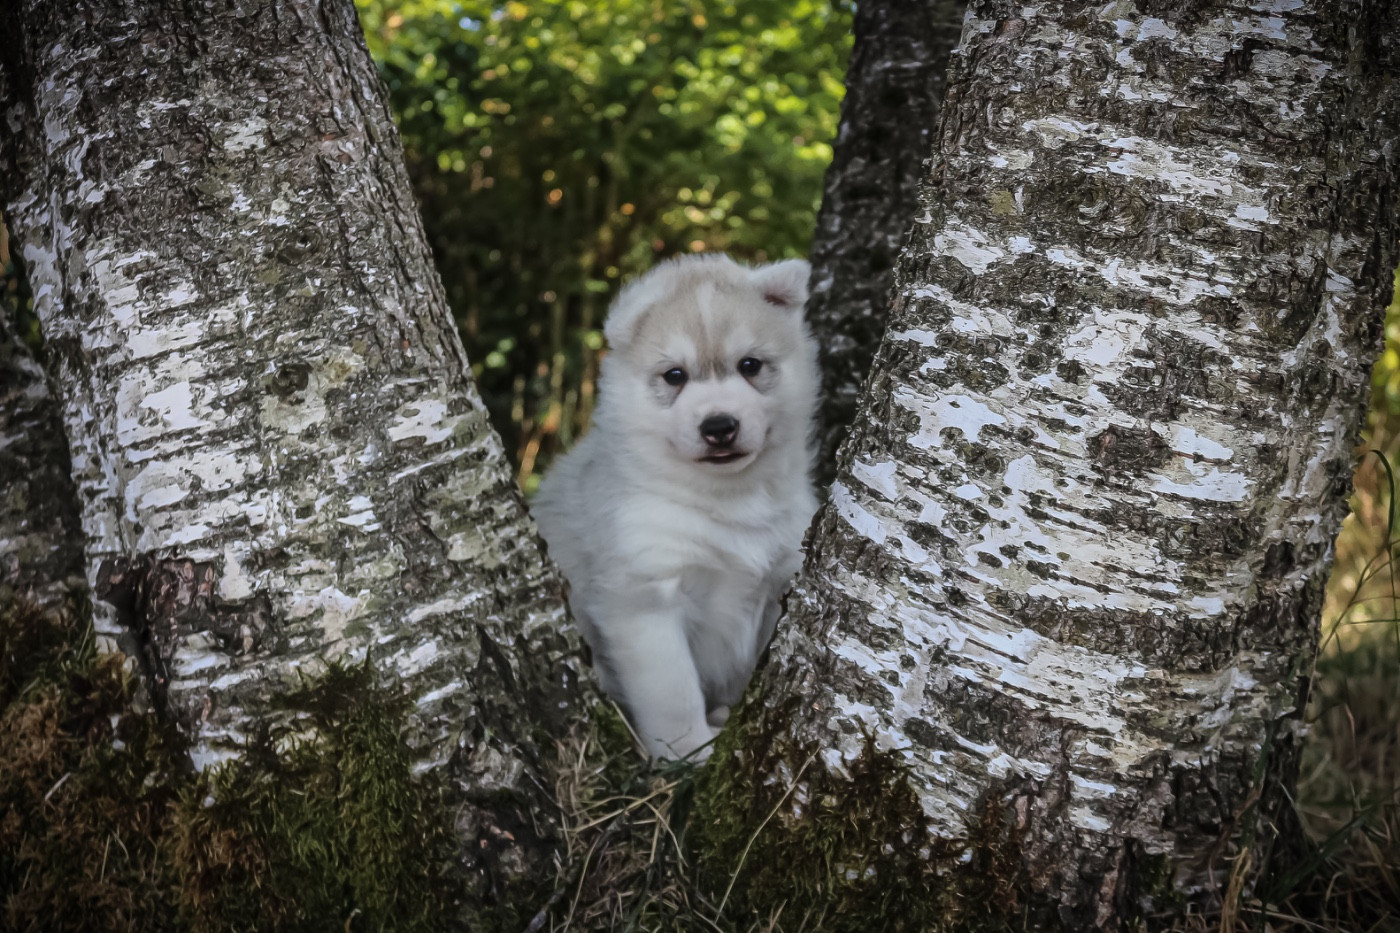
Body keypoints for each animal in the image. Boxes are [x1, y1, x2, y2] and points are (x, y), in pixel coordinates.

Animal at [531, 253, 819, 760]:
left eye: (750, 365)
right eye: (675, 375)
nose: (719, 426)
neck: (730, 501)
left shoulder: (779, 583)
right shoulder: (646, 597)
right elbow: (674, 695)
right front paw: (690, 753)